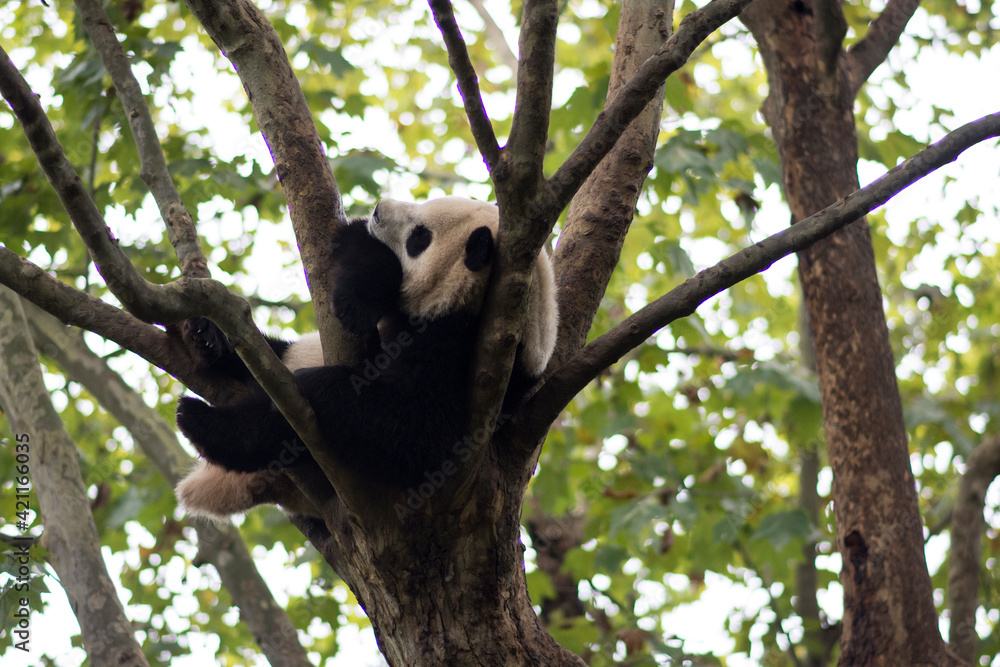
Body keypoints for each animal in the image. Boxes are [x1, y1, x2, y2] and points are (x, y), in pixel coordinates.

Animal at [174, 197, 558, 518]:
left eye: (420, 237)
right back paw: (208, 340)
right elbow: (354, 242)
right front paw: (356, 301)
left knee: (281, 428)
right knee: (273, 353)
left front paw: (315, 384)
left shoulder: (475, 362)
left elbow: (420, 432)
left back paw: (206, 423)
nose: (378, 209)